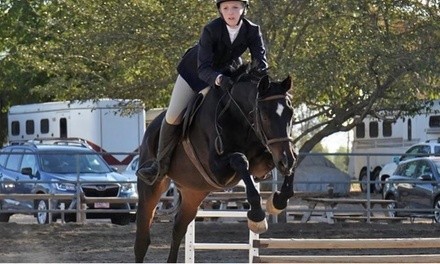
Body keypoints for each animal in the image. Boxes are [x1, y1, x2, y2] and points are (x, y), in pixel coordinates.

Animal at [135, 65, 296, 262]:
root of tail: (150, 129)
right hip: (151, 188)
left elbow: (291, 156)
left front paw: (278, 201)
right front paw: (257, 217)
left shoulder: (261, 165)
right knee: (142, 239)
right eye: (265, 116)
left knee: (178, 228)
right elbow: (240, 160)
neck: (237, 115)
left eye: (291, 113)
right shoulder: (217, 171)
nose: (286, 161)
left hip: (193, 192)